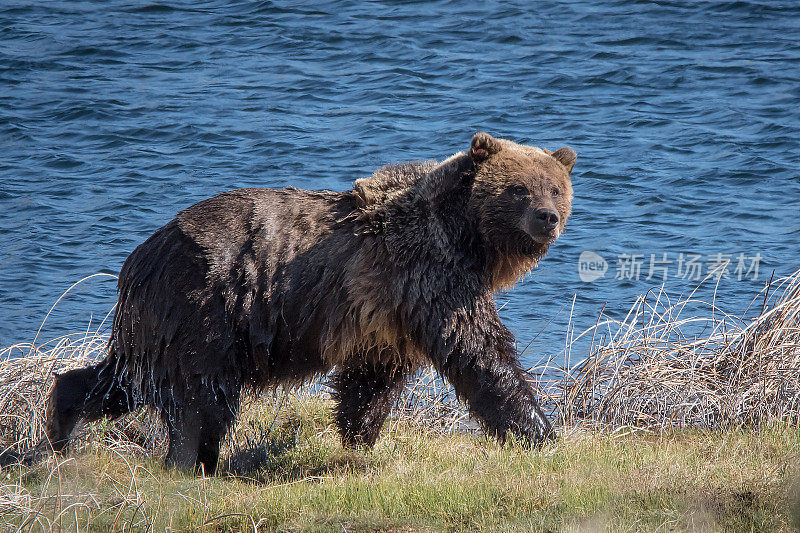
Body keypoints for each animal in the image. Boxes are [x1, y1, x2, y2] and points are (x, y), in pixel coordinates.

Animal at [39, 133, 576, 474]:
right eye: (519, 188)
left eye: (555, 187)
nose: (547, 217)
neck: (467, 237)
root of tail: (138, 260)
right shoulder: (424, 271)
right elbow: (479, 350)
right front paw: (540, 432)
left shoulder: (384, 312)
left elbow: (371, 380)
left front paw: (359, 438)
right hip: (204, 308)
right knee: (200, 397)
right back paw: (193, 461)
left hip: (159, 322)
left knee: (126, 377)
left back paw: (63, 418)